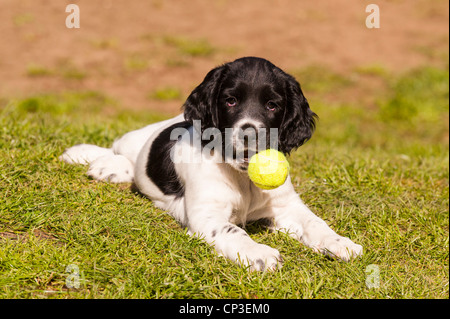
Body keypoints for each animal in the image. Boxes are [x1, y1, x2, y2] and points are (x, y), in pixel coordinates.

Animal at [60, 57, 362, 270]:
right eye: (230, 101)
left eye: (272, 105)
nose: (249, 133)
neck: (242, 178)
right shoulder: (207, 216)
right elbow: (233, 230)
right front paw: (259, 253)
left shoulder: (285, 206)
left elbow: (315, 222)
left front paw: (340, 242)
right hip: (134, 141)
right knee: (118, 149)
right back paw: (99, 162)